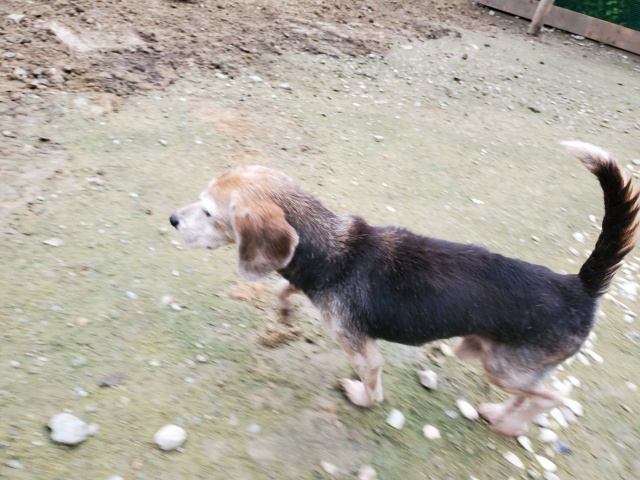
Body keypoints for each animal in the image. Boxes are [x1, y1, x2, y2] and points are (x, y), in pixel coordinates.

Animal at [169, 141, 640, 436]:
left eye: (208, 212)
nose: (173, 218)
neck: (332, 250)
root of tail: (578, 286)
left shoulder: (361, 347)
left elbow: (371, 383)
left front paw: (363, 398)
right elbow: (283, 292)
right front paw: (283, 313)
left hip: (505, 368)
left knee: (552, 398)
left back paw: (507, 424)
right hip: (496, 359)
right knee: (535, 395)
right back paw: (499, 414)